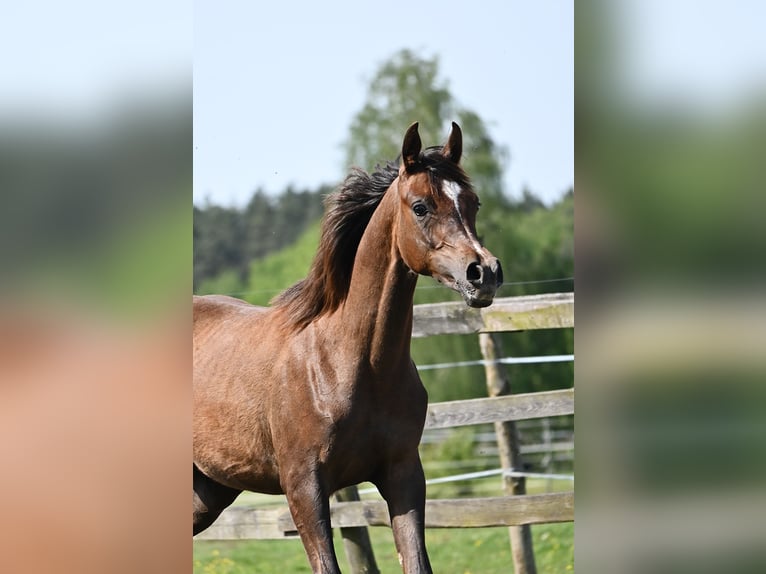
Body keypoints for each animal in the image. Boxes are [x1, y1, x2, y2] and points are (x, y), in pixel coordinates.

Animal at [194, 122, 504, 574]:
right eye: (420, 206)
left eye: (473, 202)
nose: (484, 273)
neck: (350, 363)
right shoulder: (304, 487)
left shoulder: (404, 475)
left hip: (208, 490)